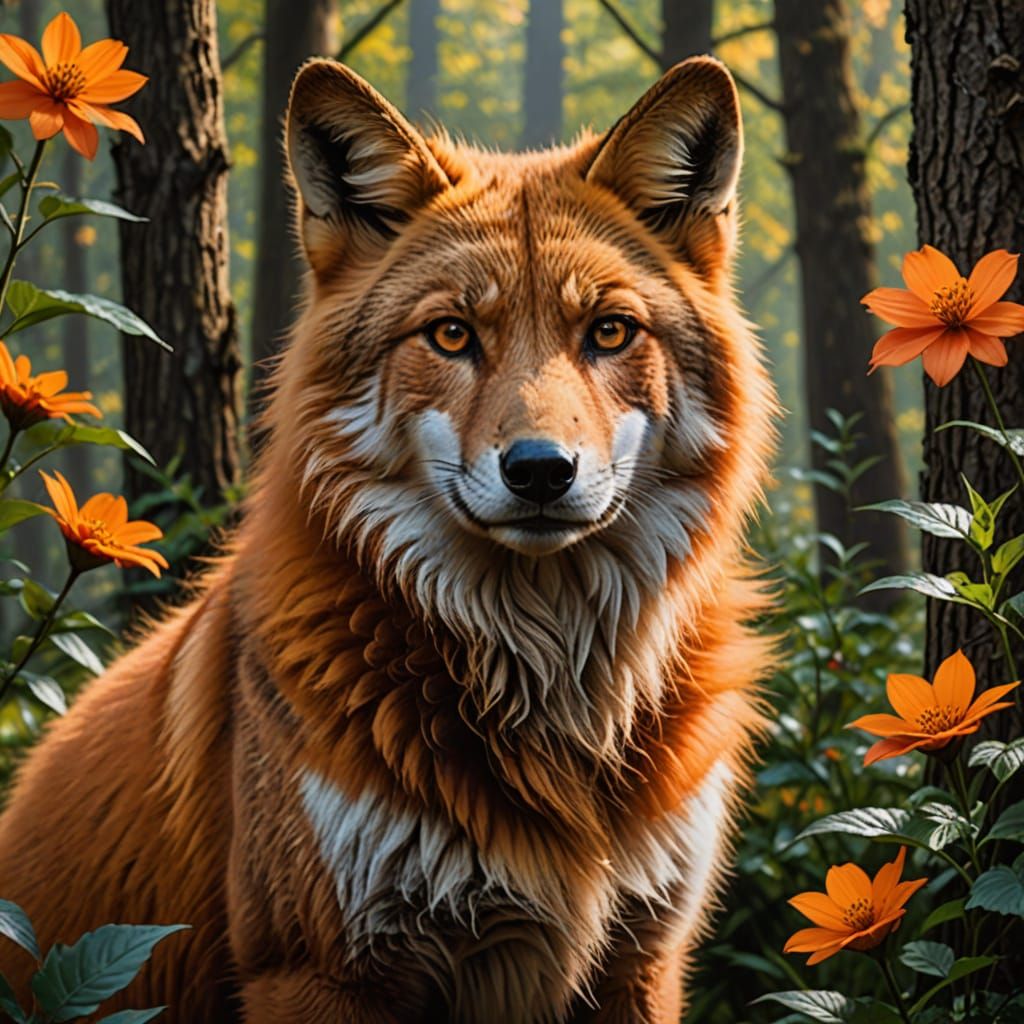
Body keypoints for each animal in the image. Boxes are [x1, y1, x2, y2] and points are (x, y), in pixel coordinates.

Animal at [0, 55, 776, 1023]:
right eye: (451, 334)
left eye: (608, 331)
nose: (541, 470)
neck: (547, 696)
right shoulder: (315, 969)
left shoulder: (643, 961)